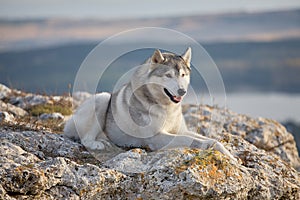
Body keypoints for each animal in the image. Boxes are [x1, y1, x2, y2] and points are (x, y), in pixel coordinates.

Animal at [65, 48, 237, 161]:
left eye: (182, 75)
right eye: (168, 75)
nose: (182, 91)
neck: (167, 109)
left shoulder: (180, 130)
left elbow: (214, 141)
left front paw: (233, 158)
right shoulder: (158, 138)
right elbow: (201, 142)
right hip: (103, 98)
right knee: (85, 138)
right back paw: (98, 144)